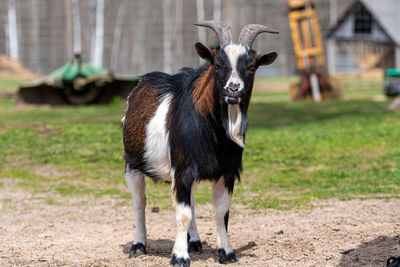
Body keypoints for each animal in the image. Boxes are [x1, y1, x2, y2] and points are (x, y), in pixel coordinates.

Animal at [122, 19, 278, 266]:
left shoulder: (227, 172)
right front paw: (179, 256)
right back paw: (138, 246)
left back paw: (194, 241)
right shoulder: (182, 169)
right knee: (140, 203)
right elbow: (182, 213)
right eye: (217, 64)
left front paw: (227, 252)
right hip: (132, 163)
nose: (234, 89)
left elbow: (221, 212)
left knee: (192, 202)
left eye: (252, 66)